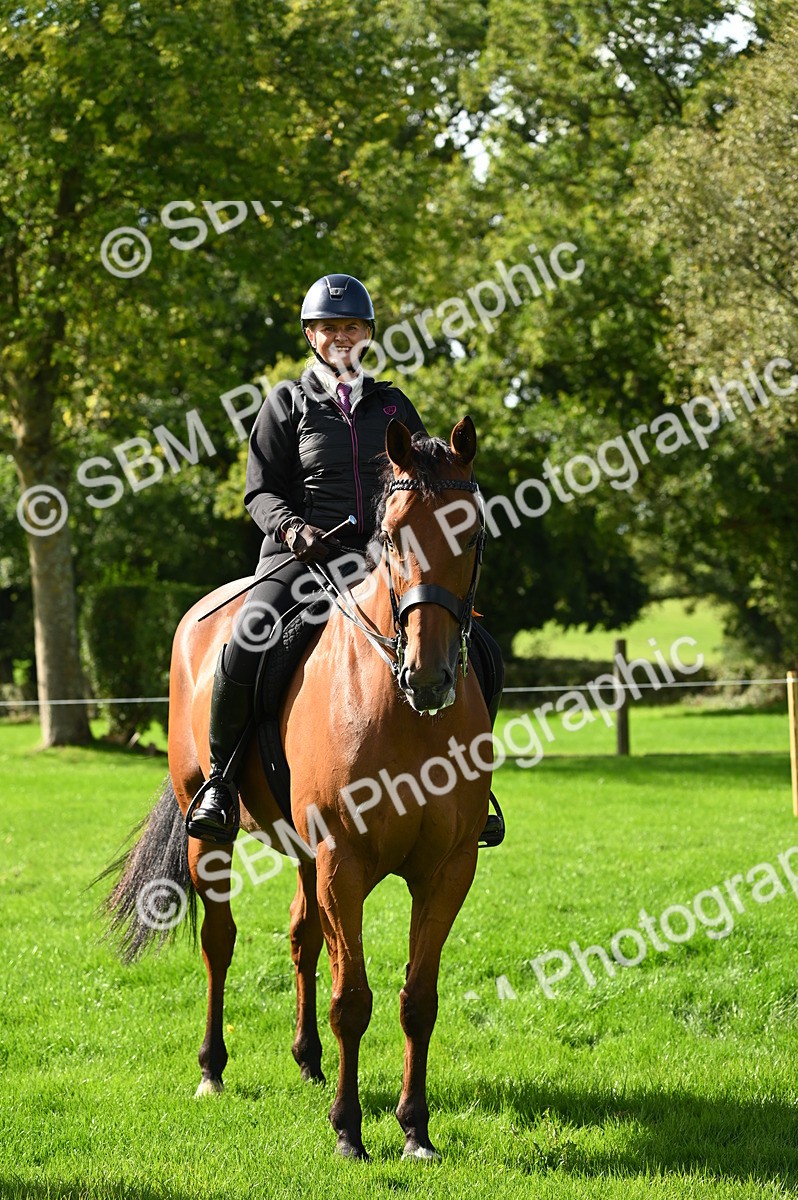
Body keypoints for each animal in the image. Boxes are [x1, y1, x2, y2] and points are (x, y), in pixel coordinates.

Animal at [104, 416, 493, 1161]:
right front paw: (348, 1130)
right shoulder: (345, 859)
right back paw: (212, 1069)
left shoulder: (448, 868)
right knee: (220, 941)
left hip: (307, 853)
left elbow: (417, 1000)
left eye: (473, 533)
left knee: (304, 937)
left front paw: (415, 1129)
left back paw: (309, 1060)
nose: (428, 676)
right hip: (213, 835)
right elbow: (354, 1000)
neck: (399, 707)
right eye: (393, 534)